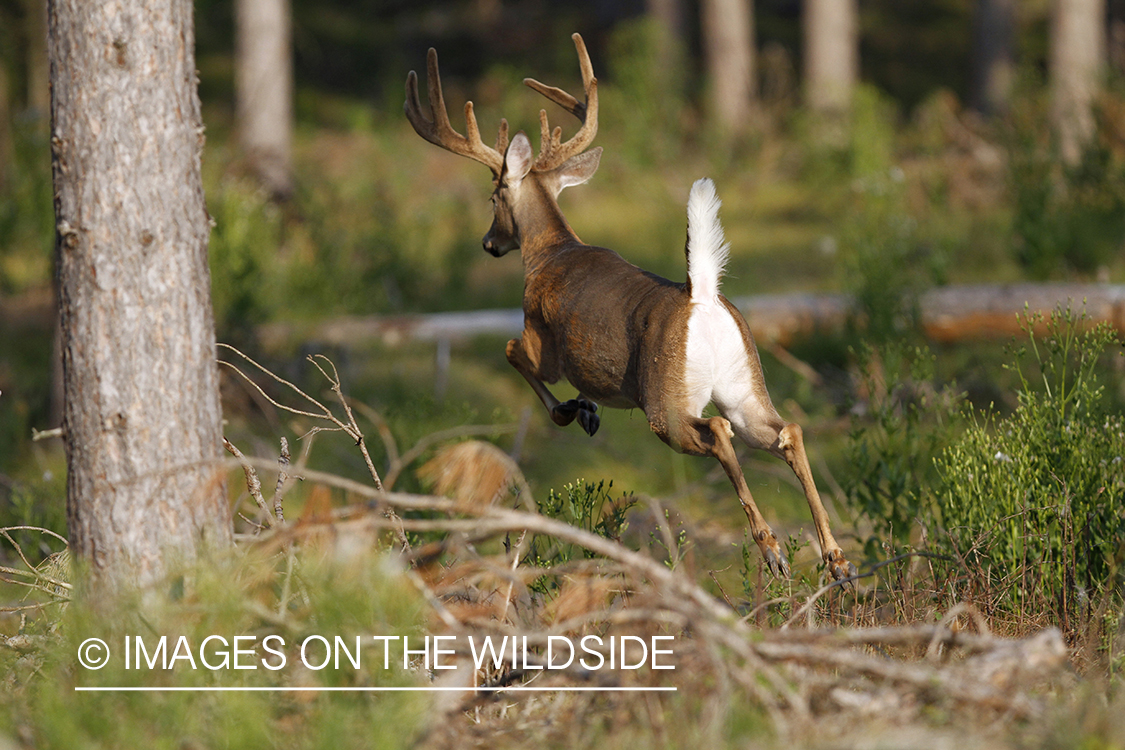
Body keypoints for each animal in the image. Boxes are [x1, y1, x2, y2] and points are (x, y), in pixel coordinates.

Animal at [405, 33, 850, 580]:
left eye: (492, 198)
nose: (489, 243)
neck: (549, 251)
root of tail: (700, 293)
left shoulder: (540, 337)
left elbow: (511, 351)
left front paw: (579, 410)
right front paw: (585, 408)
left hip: (664, 396)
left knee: (716, 430)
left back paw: (771, 547)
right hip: (744, 385)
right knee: (787, 430)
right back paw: (835, 558)